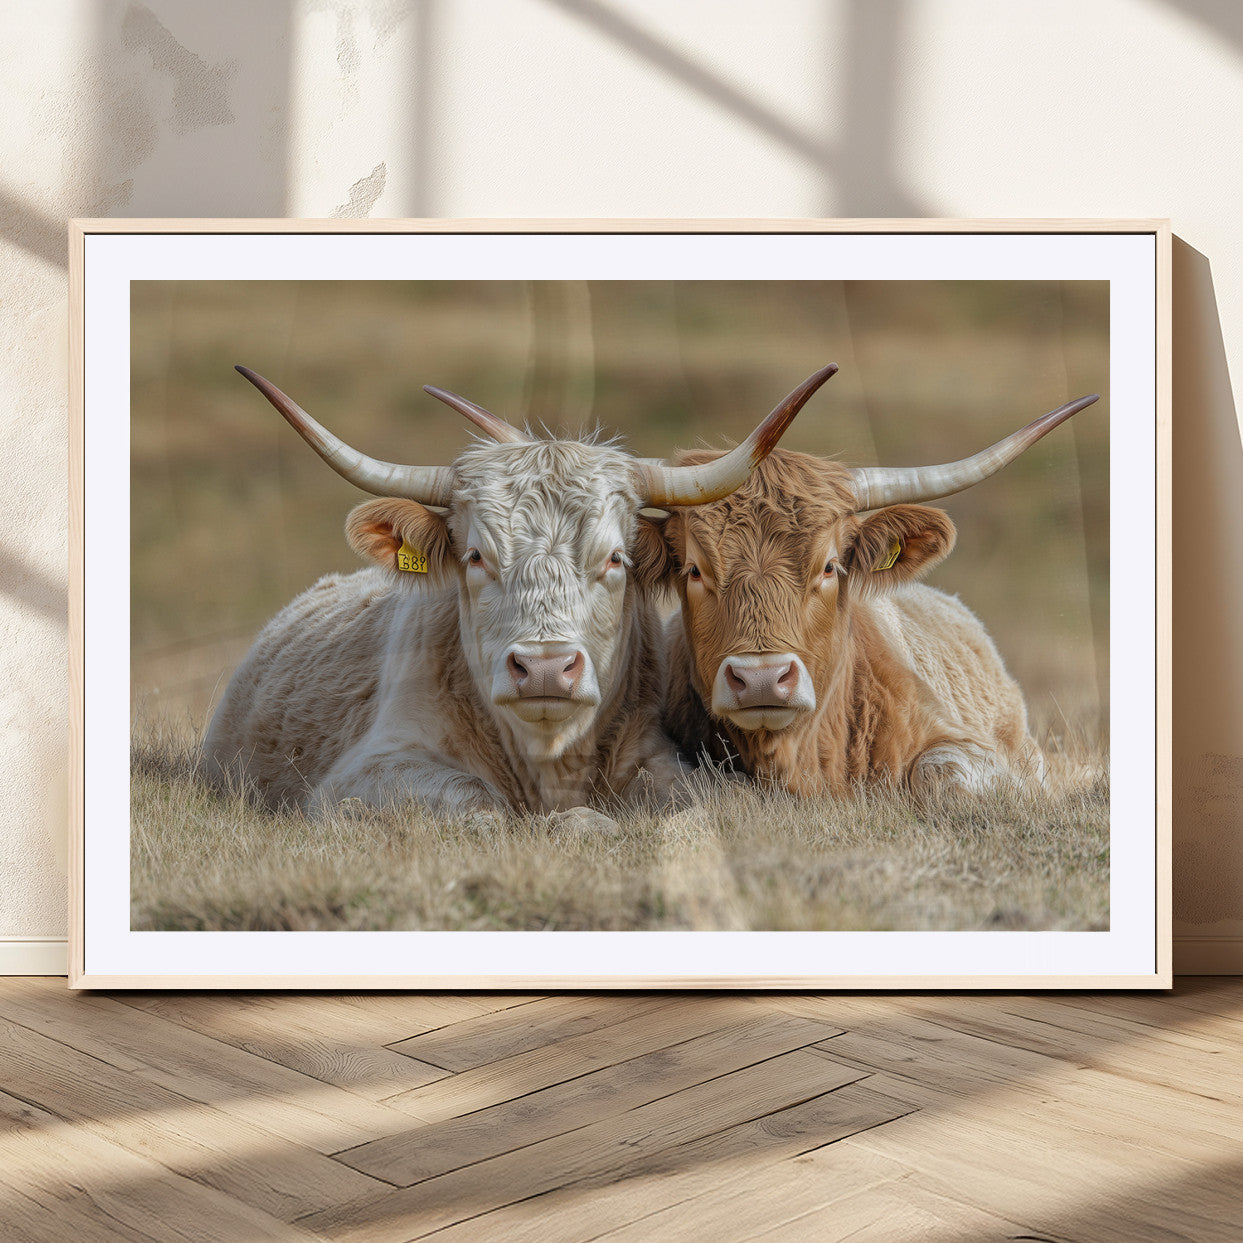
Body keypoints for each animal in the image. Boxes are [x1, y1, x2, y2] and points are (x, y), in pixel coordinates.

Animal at [202, 363, 837, 818]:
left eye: (616, 558)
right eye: (476, 556)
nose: (546, 669)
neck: (549, 759)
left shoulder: (660, 758)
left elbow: (718, 799)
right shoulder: (367, 772)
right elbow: (479, 803)